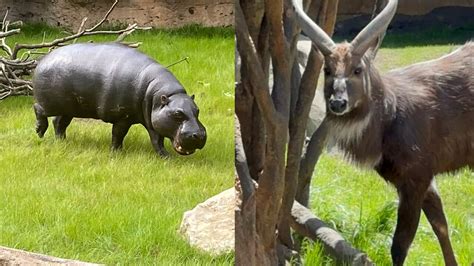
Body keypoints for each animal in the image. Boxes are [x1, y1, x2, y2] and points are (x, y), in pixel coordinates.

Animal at [31, 42, 206, 156]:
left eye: (197, 110)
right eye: (177, 114)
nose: (199, 135)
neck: (159, 95)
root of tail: (43, 60)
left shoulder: (153, 119)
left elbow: (157, 140)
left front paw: (165, 156)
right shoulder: (123, 117)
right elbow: (118, 134)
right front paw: (117, 153)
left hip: (70, 107)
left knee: (59, 123)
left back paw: (62, 142)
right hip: (50, 104)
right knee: (39, 109)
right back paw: (39, 132)